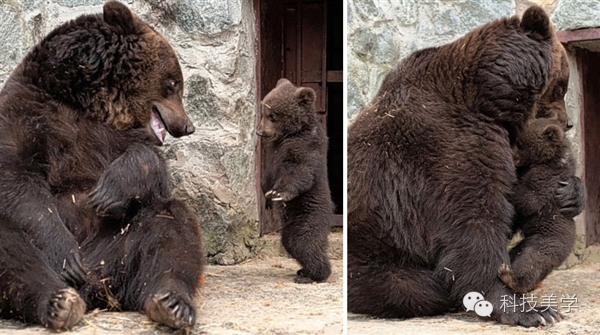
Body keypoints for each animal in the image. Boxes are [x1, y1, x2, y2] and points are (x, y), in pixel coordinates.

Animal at [0, 1, 204, 334]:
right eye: (174, 82)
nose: (187, 126)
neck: (88, 101)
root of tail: (95, 285)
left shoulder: (115, 138)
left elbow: (151, 167)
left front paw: (108, 193)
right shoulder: (26, 111)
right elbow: (17, 178)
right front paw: (66, 255)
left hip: (118, 244)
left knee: (171, 225)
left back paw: (172, 303)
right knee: (12, 248)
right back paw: (59, 300)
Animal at [344, 5, 584, 328]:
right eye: (561, 87)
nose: (568, 122)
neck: (485, 99)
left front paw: (572, 193)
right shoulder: (449, 145)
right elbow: (474, 221)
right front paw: (531, 311)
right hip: (376, 252)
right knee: (413, 287)